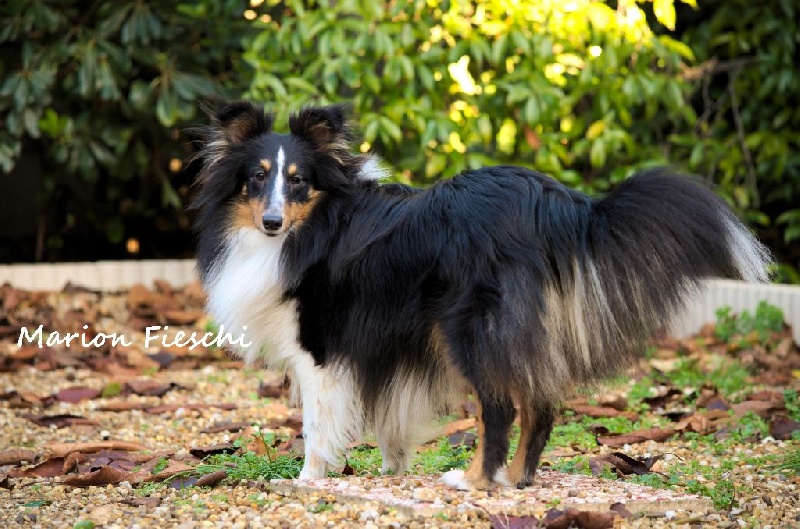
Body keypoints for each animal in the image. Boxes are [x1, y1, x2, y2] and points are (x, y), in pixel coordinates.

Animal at [189, 100, 771, 490]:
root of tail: (552, 203)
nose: (271, 222)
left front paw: (307, 480)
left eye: (298, 180)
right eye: (256, 177)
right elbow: (388, 418)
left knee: (501, 408)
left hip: (469, 328)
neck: (315, 224)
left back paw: (474, 480)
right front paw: (392, 468)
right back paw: (515, 479)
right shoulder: (383, 346)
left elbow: (316, 423)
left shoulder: (321, 346)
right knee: (540, 406)